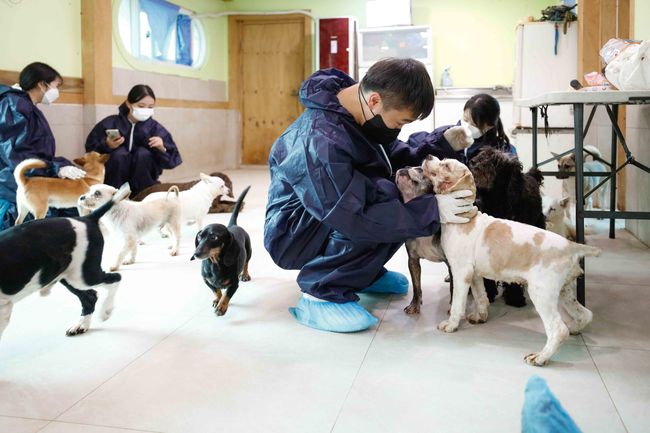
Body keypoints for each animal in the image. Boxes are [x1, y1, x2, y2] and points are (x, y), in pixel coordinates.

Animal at [0, 181, 132, 340]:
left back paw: (106, 310)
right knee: (90, 297)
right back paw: (81, 325)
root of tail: (87, 219)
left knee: (115, 278)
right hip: (67, 276)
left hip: (84, 276)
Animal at [190, 185, 251, 314]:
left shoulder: (234, 284)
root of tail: (232, 225)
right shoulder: (206, 281)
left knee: (246, 263)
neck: (215, 264)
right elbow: (216, 290)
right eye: (199, 237)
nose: (196, 254)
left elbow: (227, 294)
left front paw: (221, 307)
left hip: (249, 252)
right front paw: (217, 300)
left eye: (214, 237)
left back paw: (244, 274)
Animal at [468, 147, 544, 306]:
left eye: (496, 161)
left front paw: (515, 297)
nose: (472, 162)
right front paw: (489, 294)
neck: (497, 201)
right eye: (481, 154)